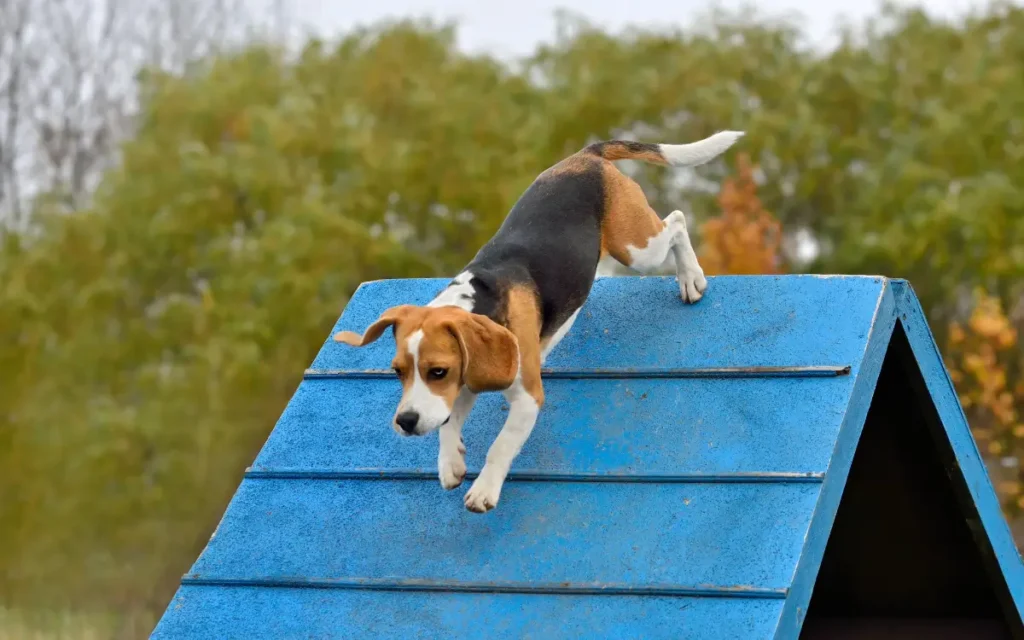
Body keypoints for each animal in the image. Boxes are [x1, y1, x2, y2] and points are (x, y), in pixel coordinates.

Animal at [335, 131, 745, 514]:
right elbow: (448, 424)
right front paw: (450, 463)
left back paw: (691, 278)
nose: (405, 421)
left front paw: (484, 490)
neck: (479, 300)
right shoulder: (465, 382)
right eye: (398, 371)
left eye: (437, 371)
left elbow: (500, 445)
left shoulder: (526, 397)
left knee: (676, 222)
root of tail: (586, 155)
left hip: (637, 248)